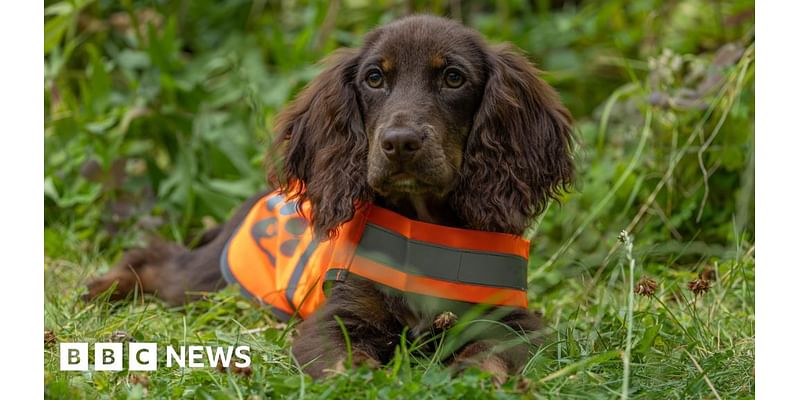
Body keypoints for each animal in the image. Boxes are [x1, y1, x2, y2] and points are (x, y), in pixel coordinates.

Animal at [86, 15, 576, 382]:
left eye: (454, 77)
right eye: (374, 78)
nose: (399, 143)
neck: (424, 228)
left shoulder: (513, 323)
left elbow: (492, 355)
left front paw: (477, 378)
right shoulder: (336, 316)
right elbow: (344, 363)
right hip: (209, 282)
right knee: (155, 258)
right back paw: (100, 289)